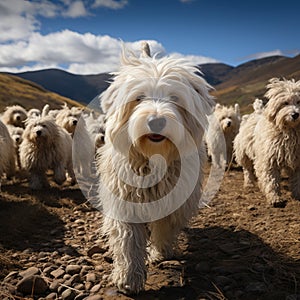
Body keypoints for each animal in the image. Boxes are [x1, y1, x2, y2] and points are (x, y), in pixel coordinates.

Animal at [96, 45, 213, 294]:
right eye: (138, 98)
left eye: (175, 99)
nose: (156, 121)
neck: (153, 158)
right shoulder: (124, 202)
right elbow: (128, 242)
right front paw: (128, 278)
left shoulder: (174, 201)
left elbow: (164, 228)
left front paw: (159, 253)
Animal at [234, 78, 300, 207]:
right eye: (285, 102)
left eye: (299, 101)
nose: (295, 114)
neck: (289, 131)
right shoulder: (269, 160)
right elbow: (271, 180)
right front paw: (275, 198)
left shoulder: (297, 160)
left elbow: (297, 181)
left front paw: (298, 195)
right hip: (243, 153)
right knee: (247, 170)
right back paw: (249, 184)